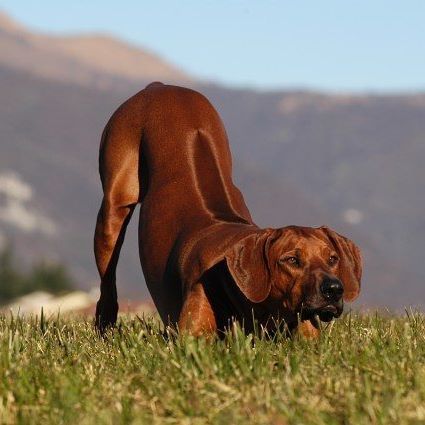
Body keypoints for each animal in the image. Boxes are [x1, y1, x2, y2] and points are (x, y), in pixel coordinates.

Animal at [93, 81, 362, 336]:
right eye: (292, 260)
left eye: (333, 258)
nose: (334, 289)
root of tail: (158, 87)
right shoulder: (192, 332)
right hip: (113, 204)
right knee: (108, 281)